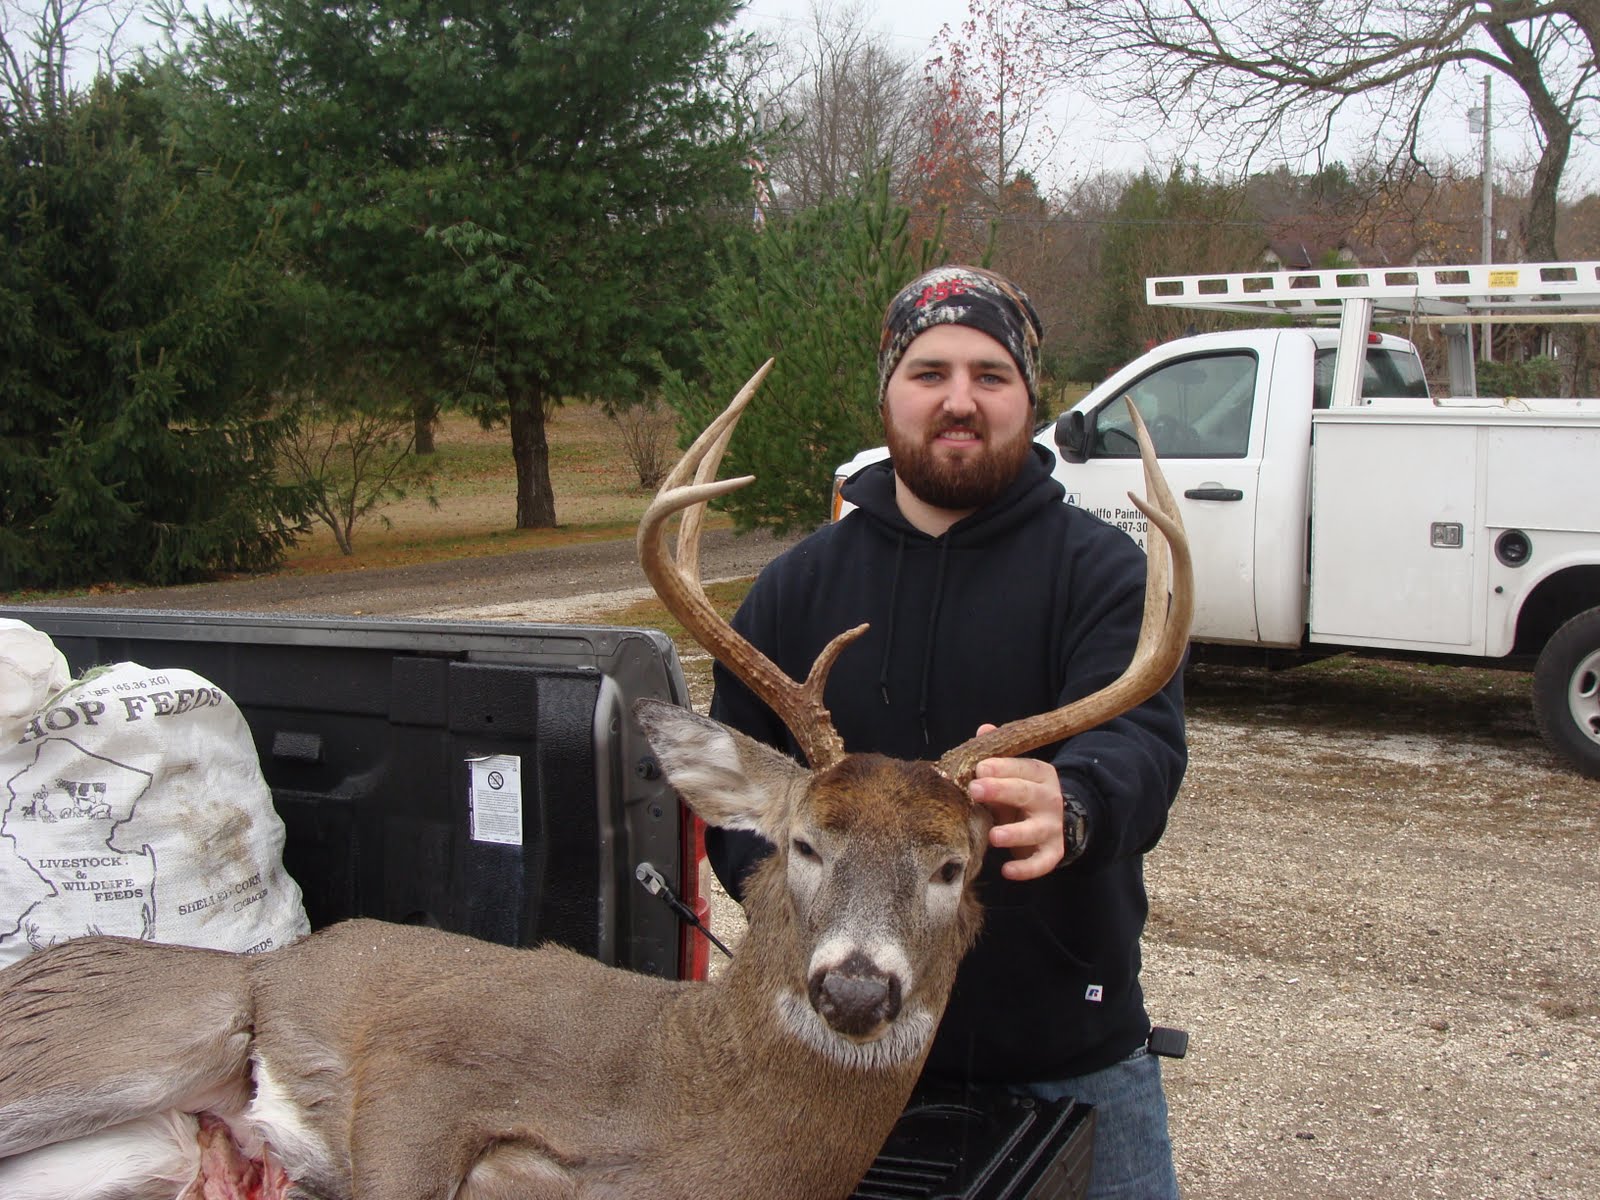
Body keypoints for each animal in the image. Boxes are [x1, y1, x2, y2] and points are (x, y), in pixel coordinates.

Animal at [0, 362, 1192, 1200]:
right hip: (141, 1029)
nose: (856, 989)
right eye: (807, 841)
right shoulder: (423, 1071)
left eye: (955, 867)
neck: (685, 1117)